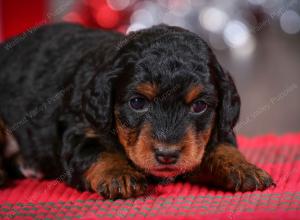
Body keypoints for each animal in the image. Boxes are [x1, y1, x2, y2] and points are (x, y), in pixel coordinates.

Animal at [0, 23, 274, 199]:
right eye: (137, 102)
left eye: (199, 106)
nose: (167, 155)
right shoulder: (79, 128)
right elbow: (97, 150)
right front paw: (119, 174)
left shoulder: (214, 130)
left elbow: (223, 147)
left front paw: (243, 167)